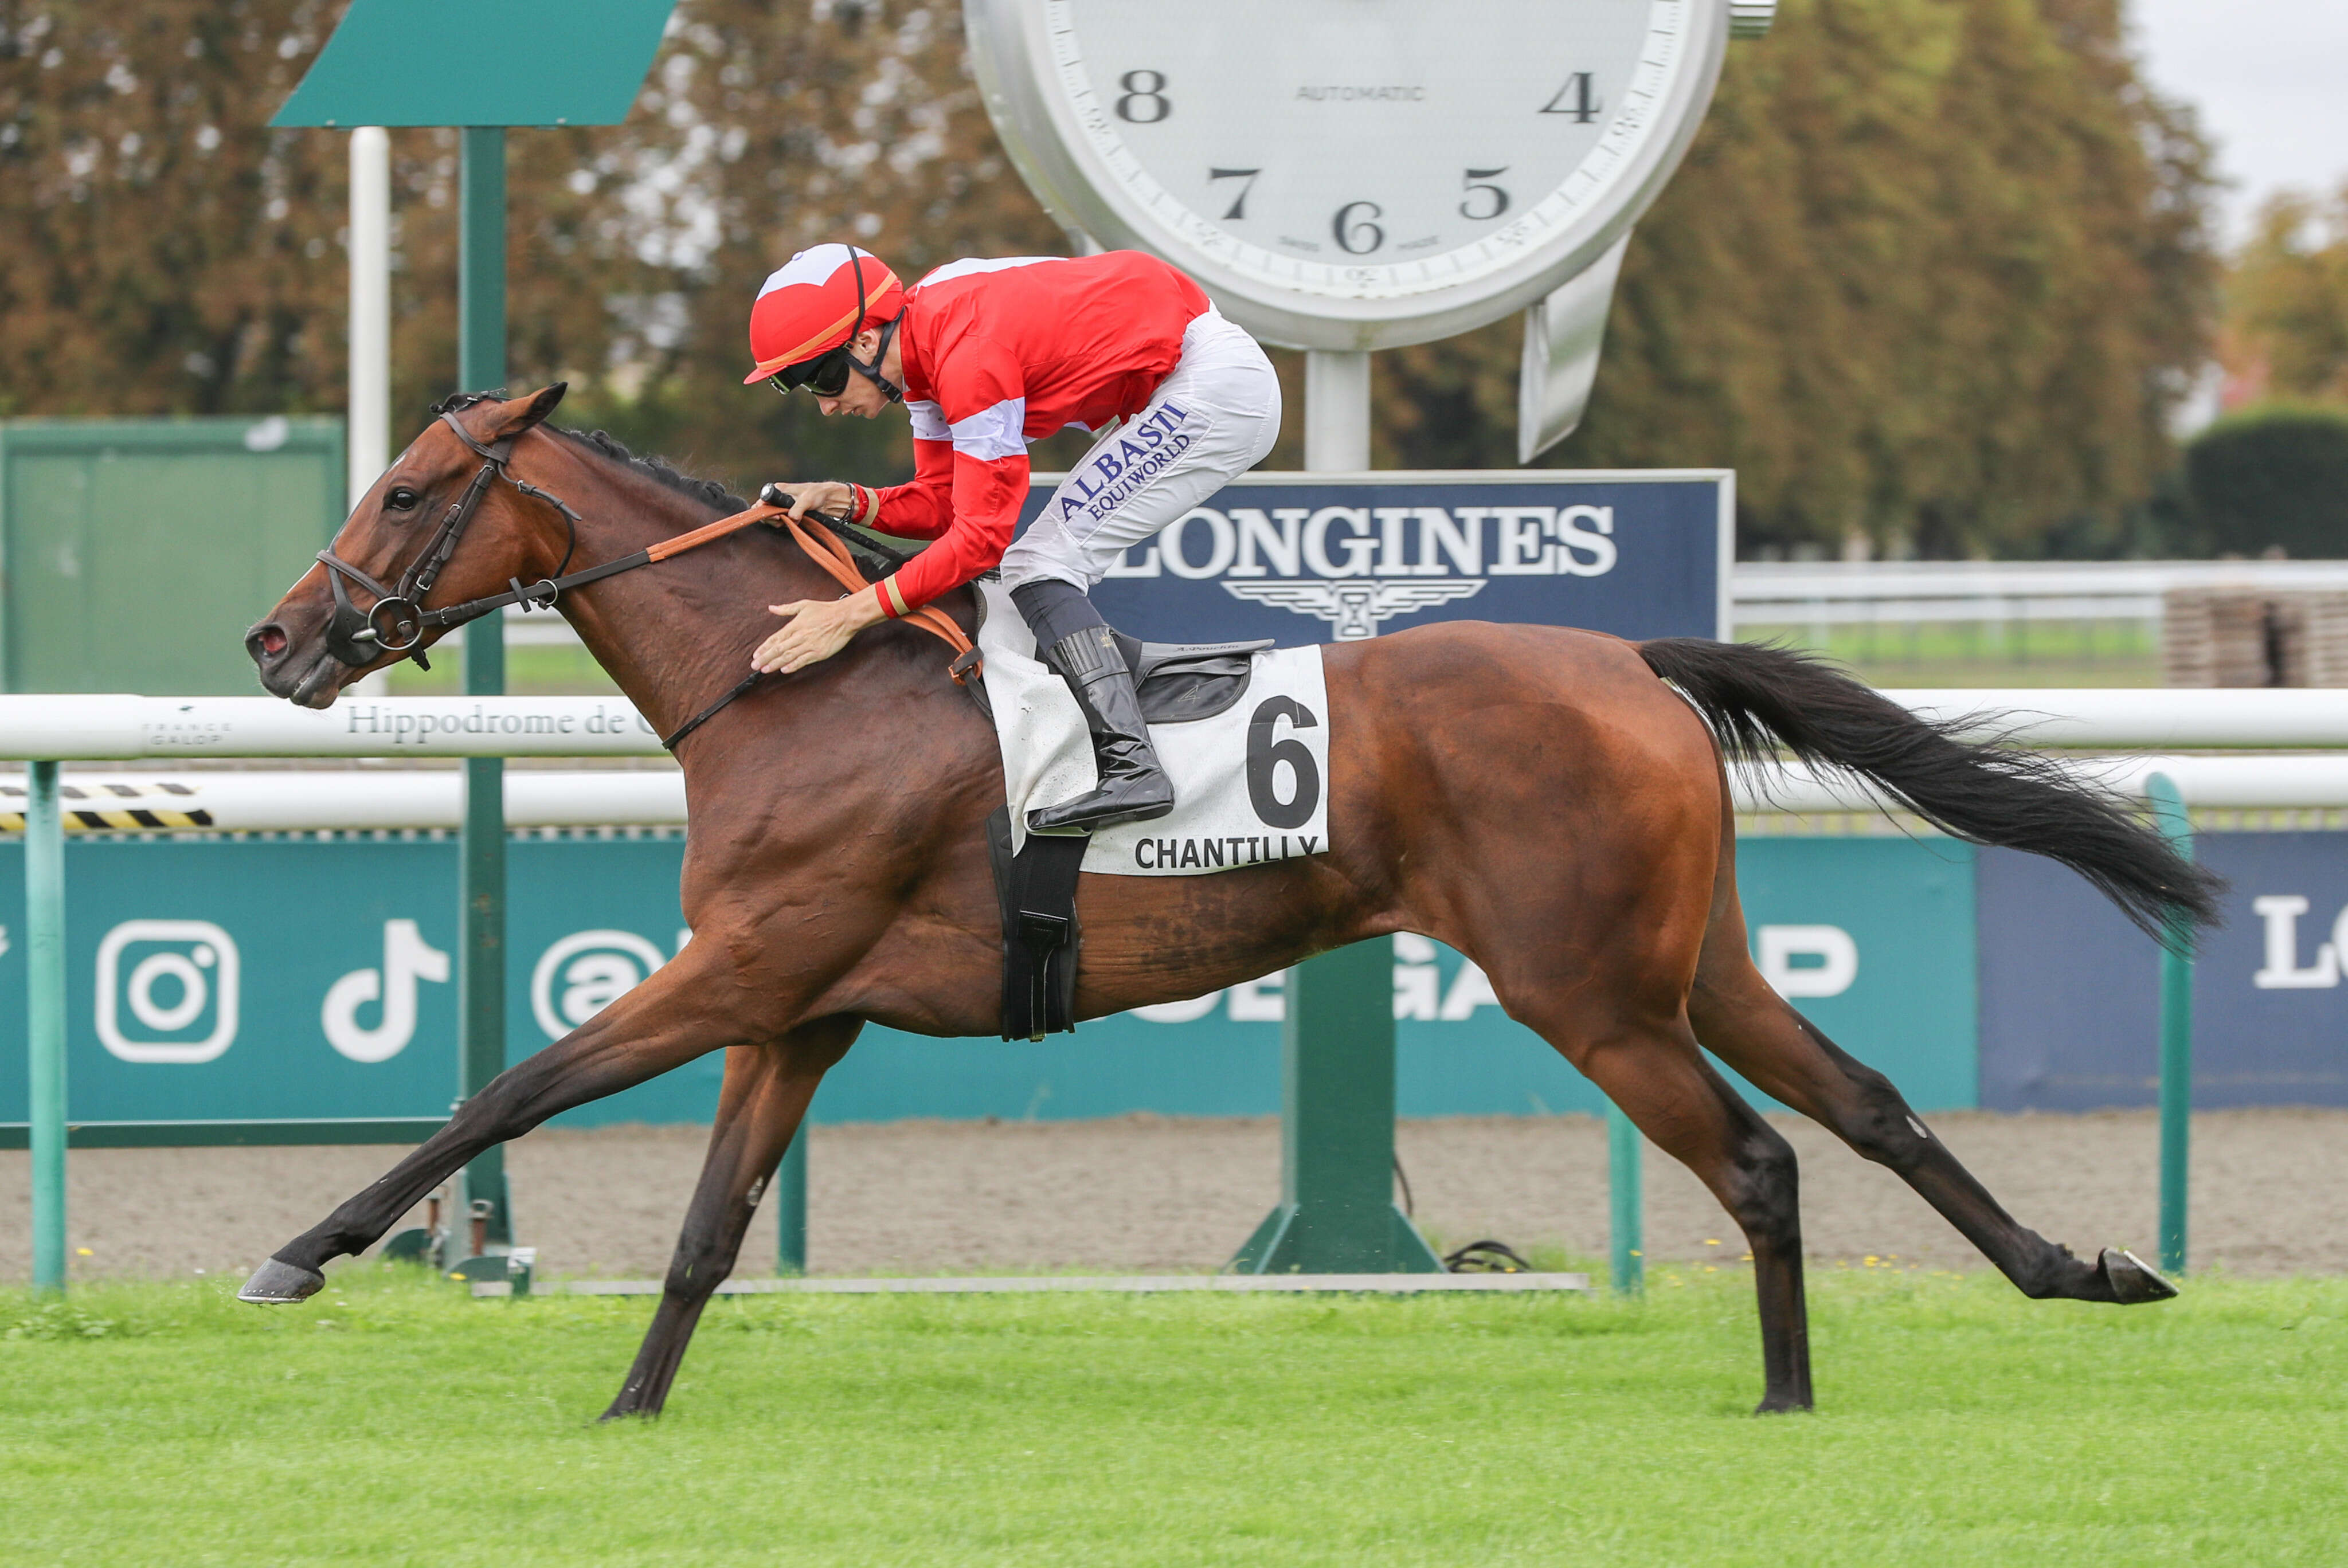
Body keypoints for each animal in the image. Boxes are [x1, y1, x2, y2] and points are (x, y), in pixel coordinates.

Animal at [238, 389, 2216, 1417]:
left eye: (407, 489)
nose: (275, 640)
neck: (792, 690)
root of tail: (1634, 659)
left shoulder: (742, 969)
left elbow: (508, 1089)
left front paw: (302, 1251)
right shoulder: (799, 1009)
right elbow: (710, 1229)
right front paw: (633, 1412)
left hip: (1586, 992)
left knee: (1760, 1161)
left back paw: (1789, 1399)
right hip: (1692, 963)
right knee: (1870, 1108)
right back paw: (2076, 1270)